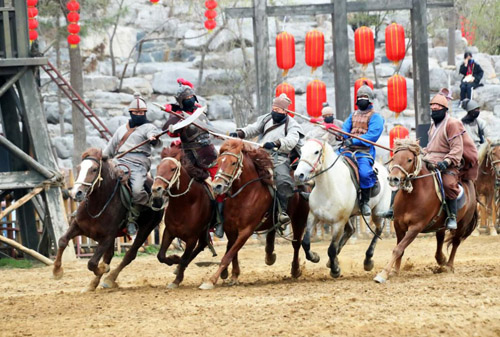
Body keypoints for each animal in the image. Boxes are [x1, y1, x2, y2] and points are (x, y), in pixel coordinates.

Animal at [54, 148, 165, 292]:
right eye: (78, 168)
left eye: (94, 169)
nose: (76, 193)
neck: (98, 205)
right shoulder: (77, 226)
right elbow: (62, 241)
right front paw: (56, 271)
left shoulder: (107, 237)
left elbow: (92, 263)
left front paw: (103, 269)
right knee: (110, 255)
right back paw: (91, 285)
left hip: (145, 230)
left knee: (129, 255)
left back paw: (109, 279)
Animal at [150, 143, 217, 288]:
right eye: (157, 167)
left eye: (173, 168)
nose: (156, 189)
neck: (186, 204)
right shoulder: (169, 232)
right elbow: (161, 256)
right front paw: (174, 259)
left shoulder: (192, 238)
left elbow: (185, 257)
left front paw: (177, 280)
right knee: (202, 244)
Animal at [198, 138, 312, 288]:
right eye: (219, 162)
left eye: (233, 162)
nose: (217, 186)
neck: (245, 195)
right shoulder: (230, 229)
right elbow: (232, 251)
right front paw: (234, 275)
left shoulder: (246, 230)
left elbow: (229, 254)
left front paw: (211, 280)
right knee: (272, 234)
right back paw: (270, 256)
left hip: (299, 218)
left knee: (296, 244)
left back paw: (295, 270)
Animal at [294, 138, 392, 276]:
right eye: (301, 150)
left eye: (316, 151)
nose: (299, 175)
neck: (328, 189)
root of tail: (384, 169)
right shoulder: (313, 216)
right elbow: (306, 242)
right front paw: (315, 257)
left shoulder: (338, 223)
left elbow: (331, 249)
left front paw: (335, 270)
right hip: (351, 215)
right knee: (351, 230)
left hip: (378, 212)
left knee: (378, 229)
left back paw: (368, 260)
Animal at [374, 138, 478, 282]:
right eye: (394, 157)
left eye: (409, 160)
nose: (393, 178)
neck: (412, 196)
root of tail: (470, 183)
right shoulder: (399, 225)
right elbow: (399, 248)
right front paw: (395, 271)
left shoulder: (415, 227)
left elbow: (398, 248)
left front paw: (383, 274)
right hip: (440, 224)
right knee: (440, 238)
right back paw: (441, 260)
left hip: (463, 224)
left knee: (456, 242)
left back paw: (448, 266)